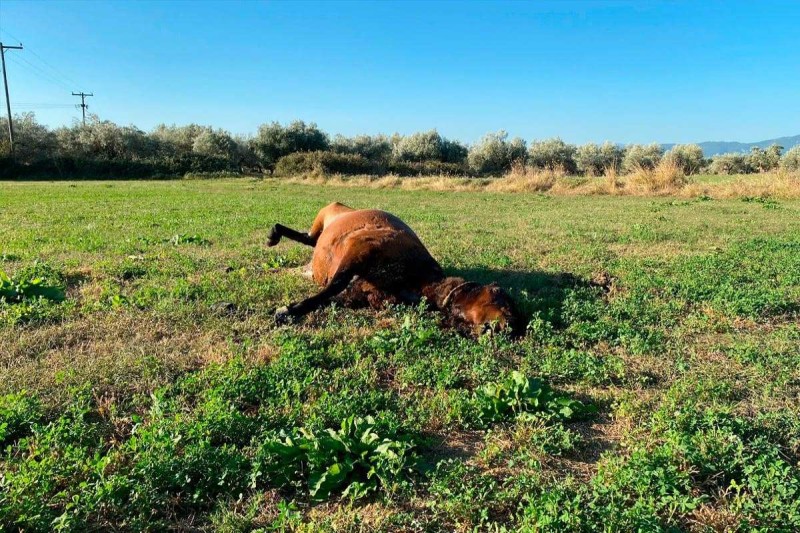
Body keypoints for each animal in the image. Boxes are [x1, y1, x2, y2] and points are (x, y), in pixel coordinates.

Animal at [266, 202, 520, 334]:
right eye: (500, 296)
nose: (512, 327)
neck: (417, 281)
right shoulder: (359, 250)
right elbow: (329, 288)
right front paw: (285, 311)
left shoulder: (357, 294)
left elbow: (327, 298)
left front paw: (289, 309)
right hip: (324, 217)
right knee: (308, 237)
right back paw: (273, 234)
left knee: (308, 241)